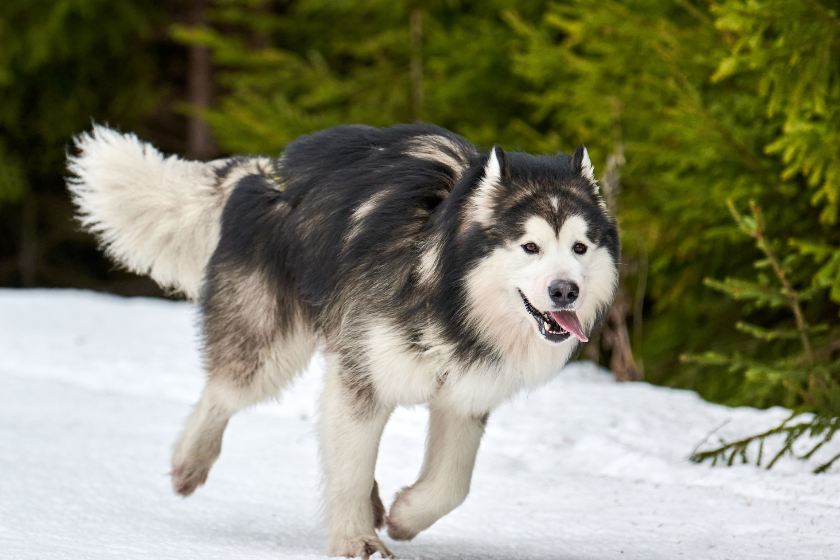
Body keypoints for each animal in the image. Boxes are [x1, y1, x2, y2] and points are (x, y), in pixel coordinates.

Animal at [67, 124, 616, 556]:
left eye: (579, 247)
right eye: (530, 246)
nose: (565, 290)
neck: (443, 292)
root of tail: (265, 173)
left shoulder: (465, 394)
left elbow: (451, 486)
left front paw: (404, 516)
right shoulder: (362, 378)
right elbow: (350, 466)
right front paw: (358, 542)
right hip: (270, 350)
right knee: (224, 391)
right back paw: (190, 461)